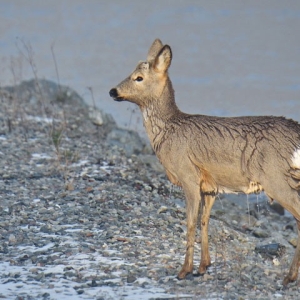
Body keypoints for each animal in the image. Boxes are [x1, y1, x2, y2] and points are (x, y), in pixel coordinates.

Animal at [109, 38, 300, 284]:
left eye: (138, 77)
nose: (113, 91)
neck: (168, 129)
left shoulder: (188, 176)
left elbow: (189, 222)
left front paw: (184, 270)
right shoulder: (210, 187)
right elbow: (205, 220)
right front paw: (203, 266)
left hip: (277, 178)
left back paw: (289, 277)